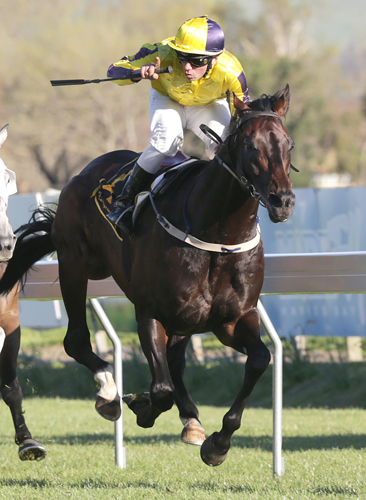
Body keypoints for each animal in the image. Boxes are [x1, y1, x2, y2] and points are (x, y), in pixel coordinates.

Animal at [0, 88, 294, 466]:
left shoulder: (233, 318)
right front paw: (141, 406)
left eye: (288, 144)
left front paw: (218, 443)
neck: (217, 235)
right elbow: (161, 389)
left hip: (182, 317)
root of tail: (84, 172)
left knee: (175, 361)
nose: (282, 201)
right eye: (249, 145)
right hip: (76, 263)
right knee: (77, 341)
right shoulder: (151, 312)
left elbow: (259, 359)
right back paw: (108, 393)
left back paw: (190, 419)